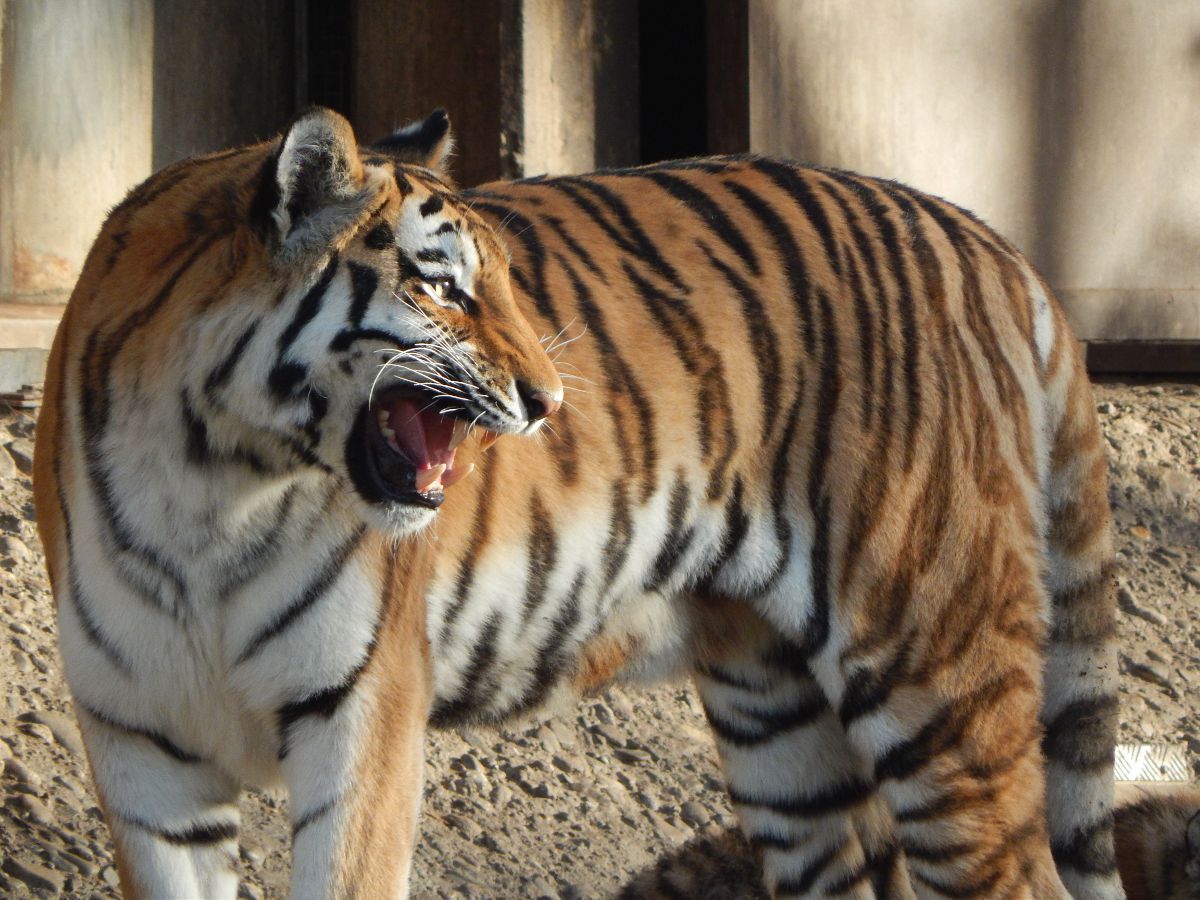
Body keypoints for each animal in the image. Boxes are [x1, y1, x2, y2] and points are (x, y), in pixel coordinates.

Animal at [32, 103, 1152, 897]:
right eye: (443, 287)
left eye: (504, 285)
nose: (549, 401)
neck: (212, 482)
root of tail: (989, 242)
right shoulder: (140, 746)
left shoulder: (360, 717)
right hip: (780, 716)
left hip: (932, 660)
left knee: (1022, 873)